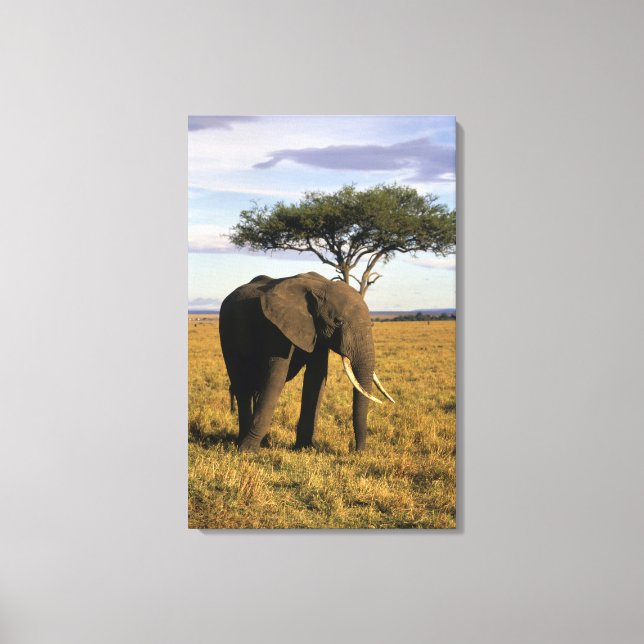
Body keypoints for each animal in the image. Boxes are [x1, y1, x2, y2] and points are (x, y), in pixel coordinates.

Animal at [219, 272, 394, 452]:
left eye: (372, 324)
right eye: (338, 322)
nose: (357, 451)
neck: (320, 287)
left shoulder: (317, 332)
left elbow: (316, 377)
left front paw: (306, 448)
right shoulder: (278, 327)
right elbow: (276, 377)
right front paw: (248, 451)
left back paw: (264, 442)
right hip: (227, 334)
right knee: (242, 386)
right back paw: (243, 442)